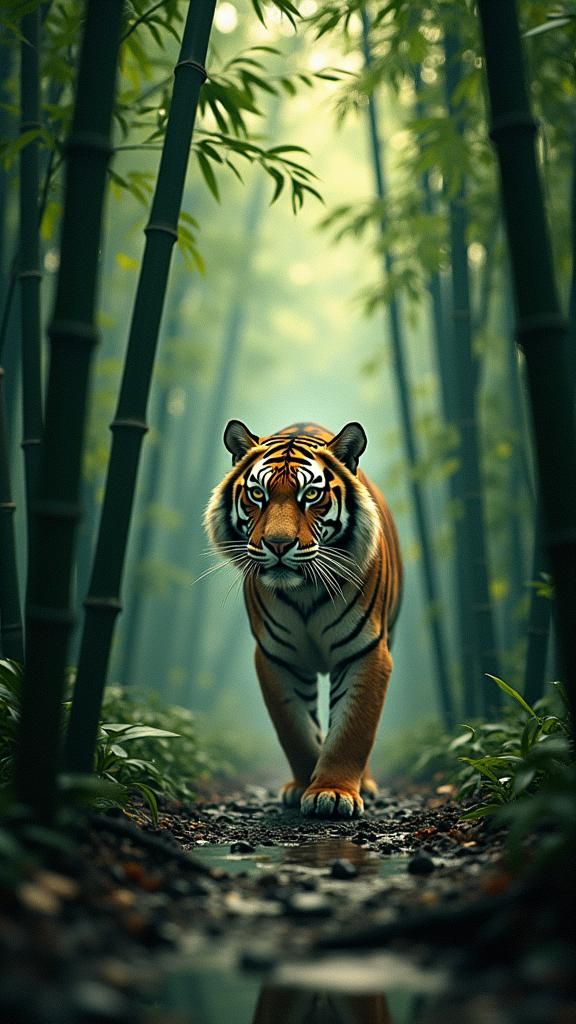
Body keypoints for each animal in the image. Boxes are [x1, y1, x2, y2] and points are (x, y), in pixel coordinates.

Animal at [204, 420, 402, 818]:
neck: (304, 590)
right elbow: (295, 731)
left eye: (310, 495)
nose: (278, 544)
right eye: (257, 494)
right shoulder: (276, 657)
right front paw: (303, 786)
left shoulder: (368, 652)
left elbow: (354, 729)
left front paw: (334, 793)